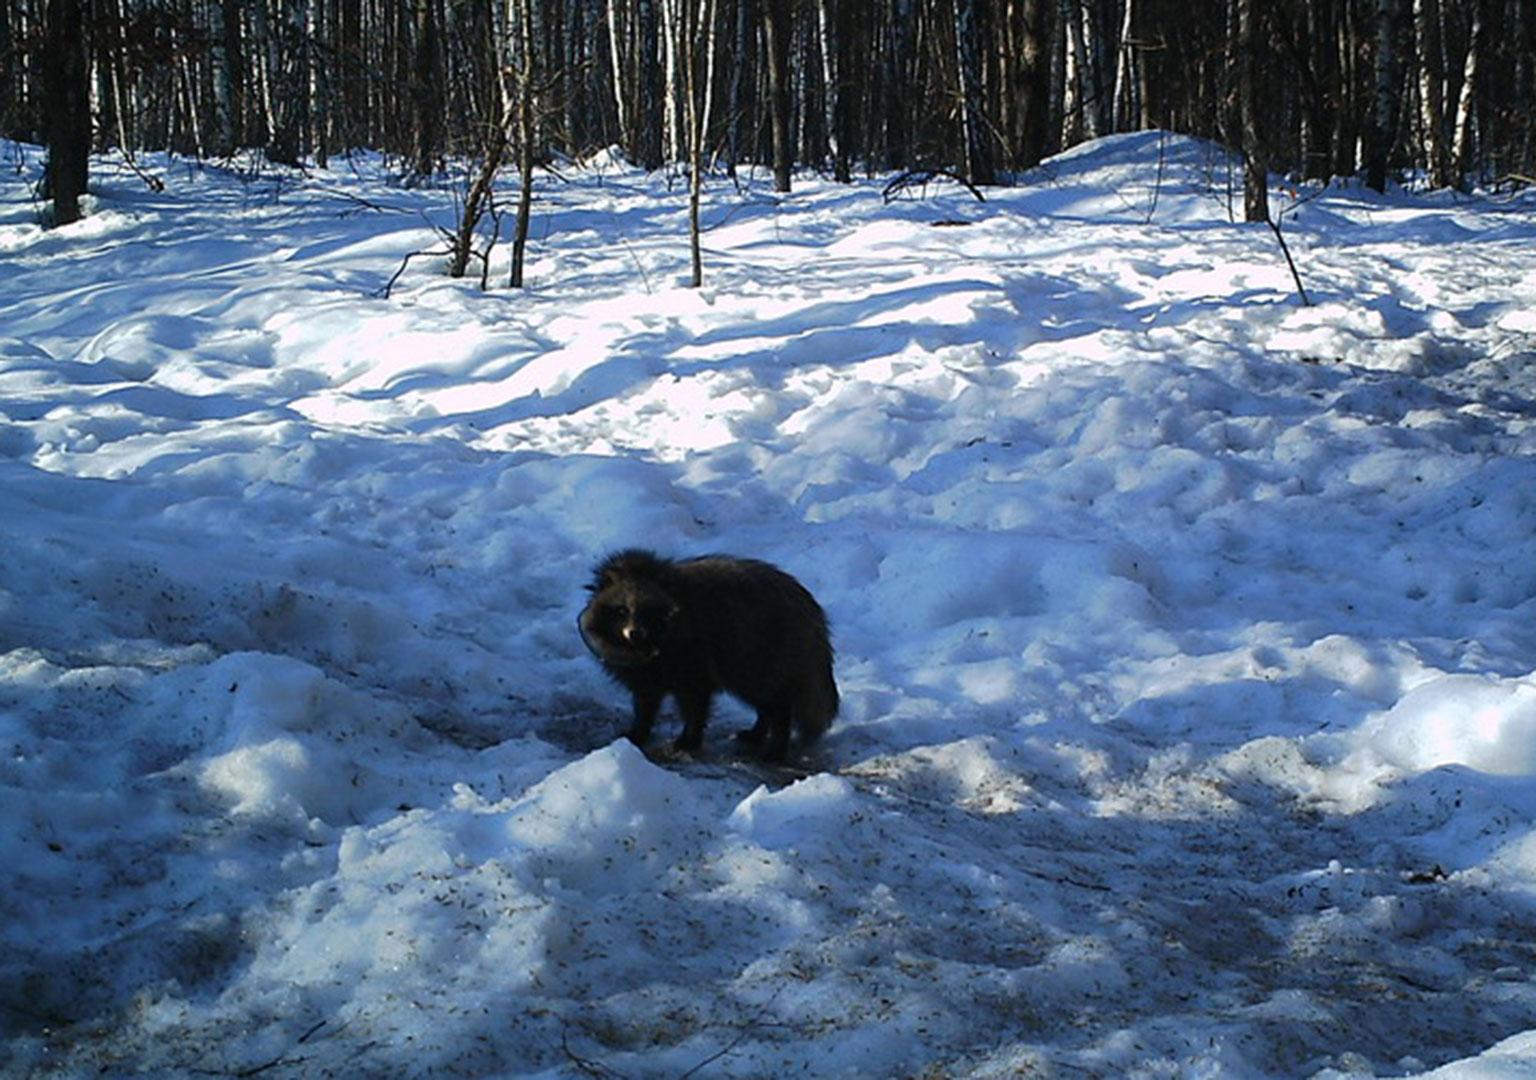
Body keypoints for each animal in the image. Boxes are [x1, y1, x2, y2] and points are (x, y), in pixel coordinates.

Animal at [577, 549, 841, 761]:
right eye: (622, 610)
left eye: (648, 611)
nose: (635, 633)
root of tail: (814, 617)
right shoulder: (645, 669)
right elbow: (646, 700)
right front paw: (638, 731)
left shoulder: (693, 654)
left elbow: (695, 701)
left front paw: (689, 739)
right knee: (763, 700)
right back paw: (757, 731)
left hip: (763, 652)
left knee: (776, 703)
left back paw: (777, 745)